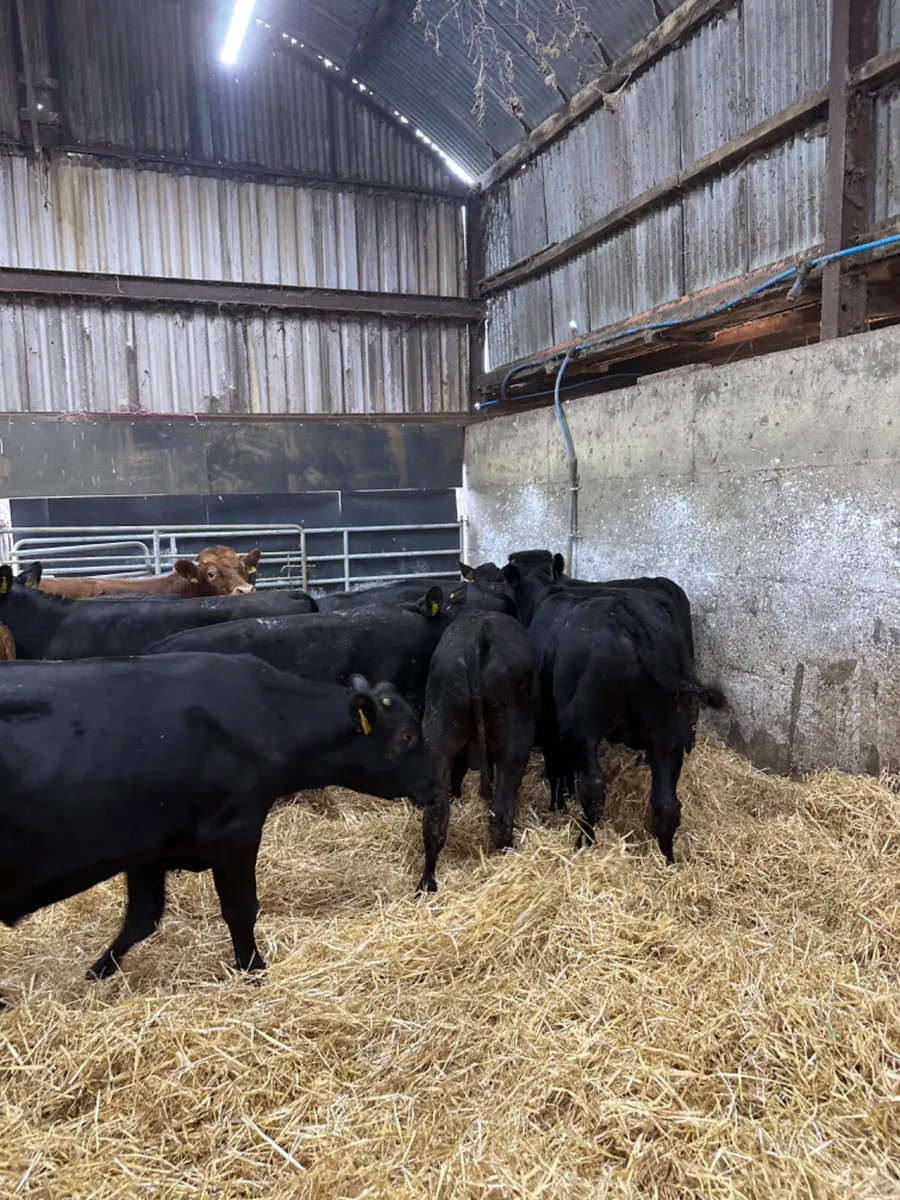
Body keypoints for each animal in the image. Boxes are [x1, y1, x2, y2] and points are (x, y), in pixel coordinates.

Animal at [0, 654, 442, 998]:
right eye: (407, 736)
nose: (436, 783)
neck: (272, 713)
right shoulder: (236, 834)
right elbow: (241, 909)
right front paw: (254, 970)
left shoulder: (149, 848)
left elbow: (142, 917)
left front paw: (96, 973)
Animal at [423, 610, 537, 870]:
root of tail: (479, 637)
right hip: (515, 744)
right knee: (501, 813)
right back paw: (507, 854)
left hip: (438, 736)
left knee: (435, 819)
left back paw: (427, 880)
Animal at [503, 562, 724, 863]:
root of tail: (627, 618)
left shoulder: (549, 718)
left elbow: (556, 767)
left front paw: (557, 807)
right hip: (667, 734)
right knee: (667, 804)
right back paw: (667, 860)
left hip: (581, 726)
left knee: (594, 788)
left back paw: (583, 842)